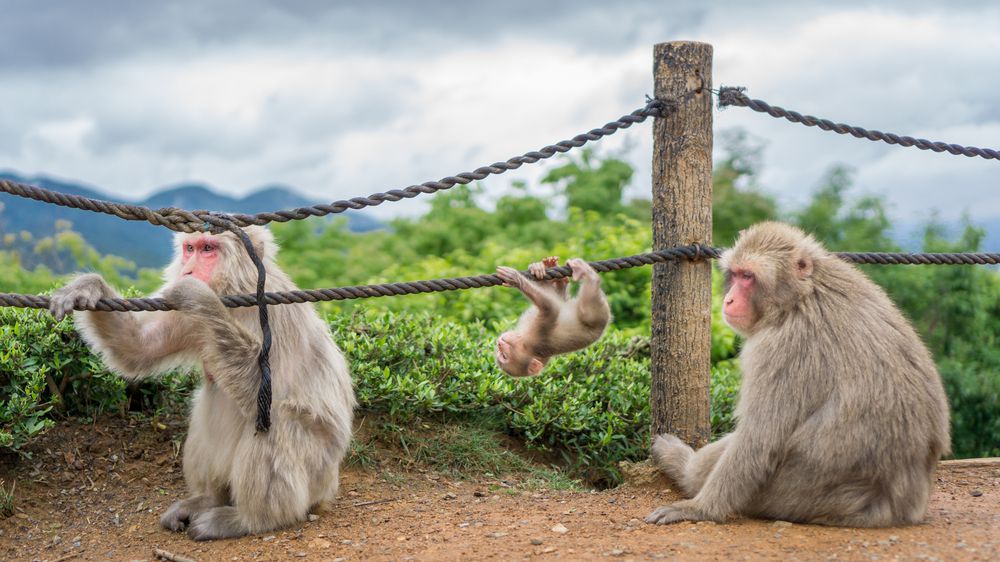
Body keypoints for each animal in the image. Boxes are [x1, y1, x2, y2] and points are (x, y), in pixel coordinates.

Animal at [50, 224, 358, 540]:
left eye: (208, 249)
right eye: (190, 249)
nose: (188, 270)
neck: (236, 294)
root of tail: (329, 487)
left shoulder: (273, 314)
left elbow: (265, 390)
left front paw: (197, 295)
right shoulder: (183, 316)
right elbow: (140, 346)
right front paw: (89, 287)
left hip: (315, 473)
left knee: (275, 420)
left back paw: (252, 519)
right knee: (207, 405)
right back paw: (209, 499)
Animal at [644, 220, 948, 524]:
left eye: (748, 277)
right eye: (736, 274)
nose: (728, 300)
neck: (799, 297)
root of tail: (902, 505)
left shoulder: (781, 347)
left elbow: (759, 440)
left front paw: (699, 508)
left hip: (790, 495)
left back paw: (683, 468)